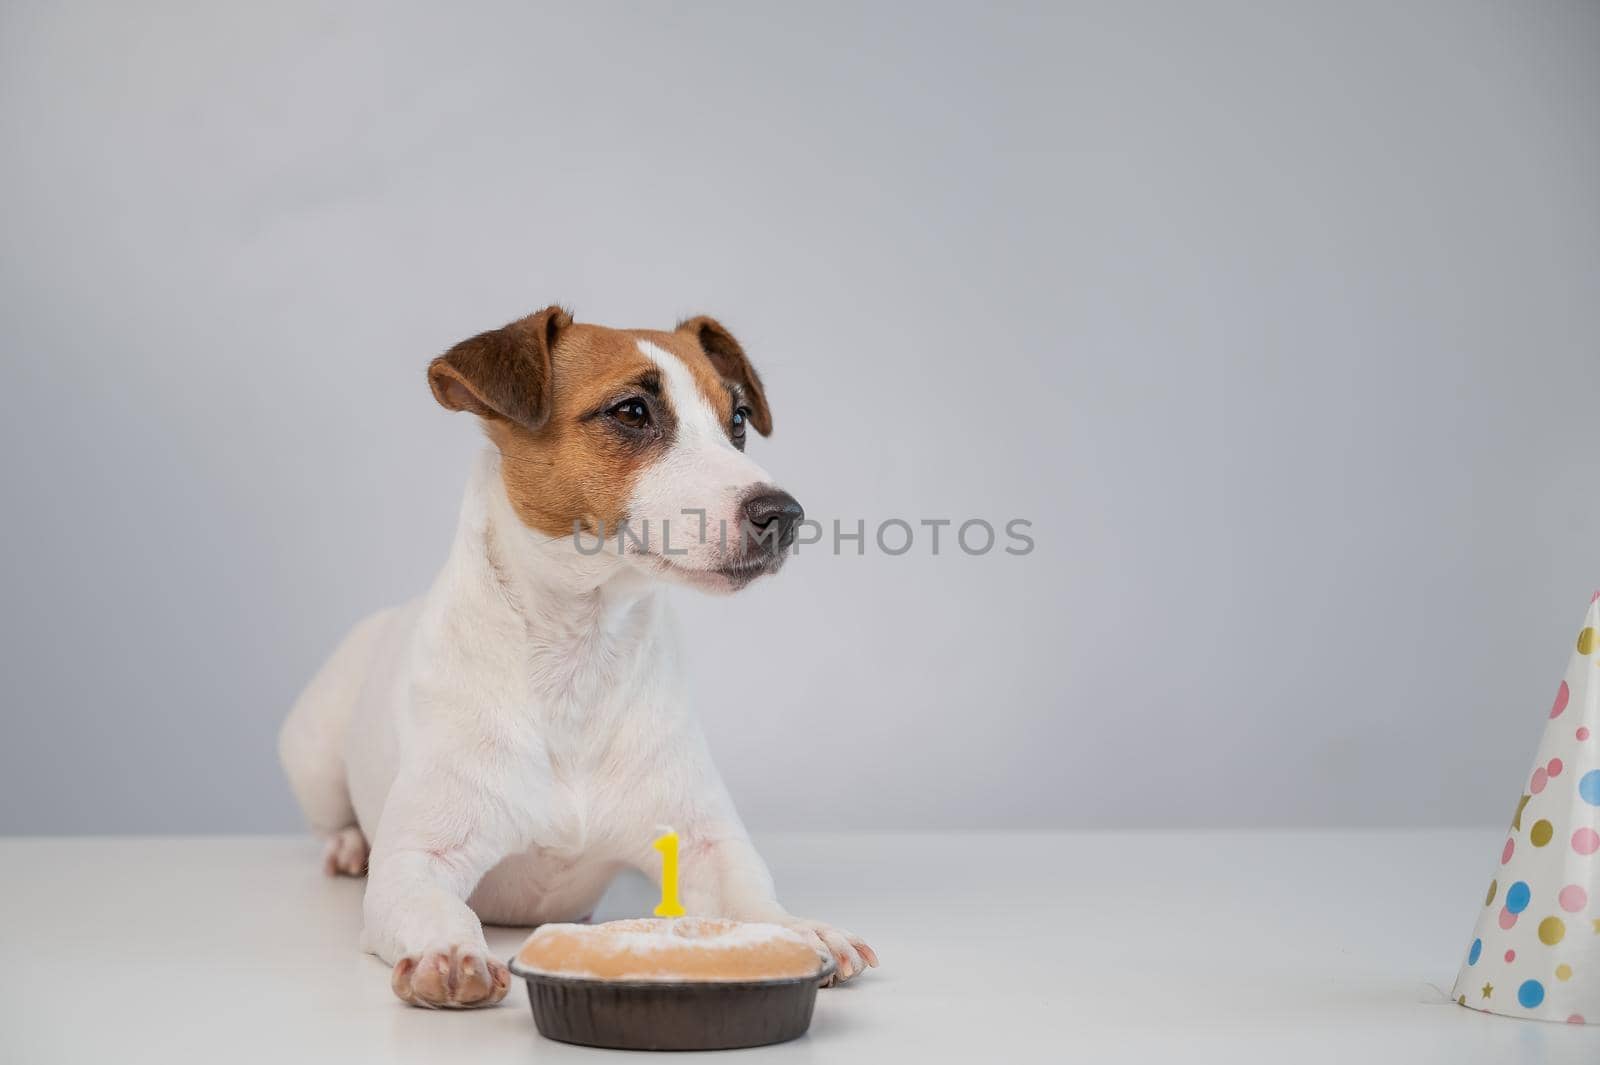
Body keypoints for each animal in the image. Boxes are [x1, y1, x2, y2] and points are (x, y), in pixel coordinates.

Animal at [275, 305, 876, 1004]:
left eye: (738, 421)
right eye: (632, 411)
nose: (783, 513)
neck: (579, 655)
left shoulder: (707, 843)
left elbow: (751, 891)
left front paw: (801, 929)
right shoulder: (416, 863)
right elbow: (434, 903)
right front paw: (449, 952)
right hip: (314, 752)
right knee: (331, 818)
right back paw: (347, 847)